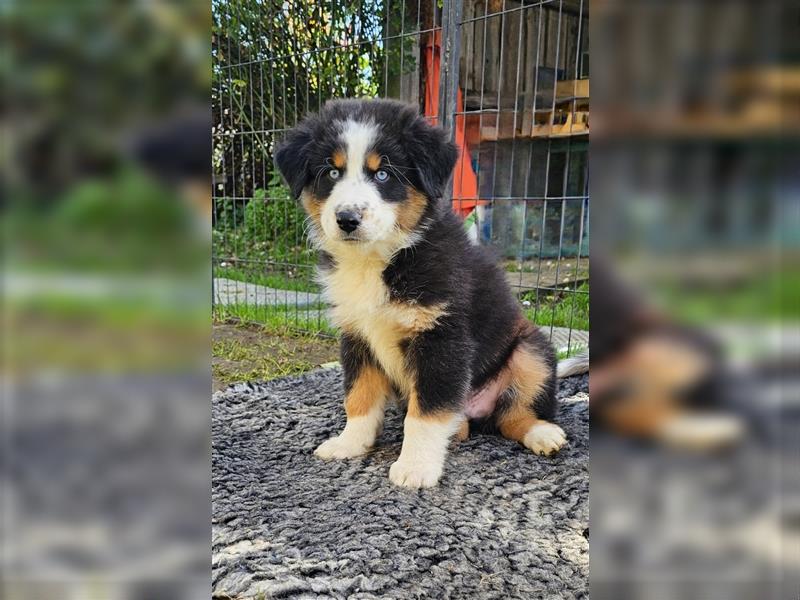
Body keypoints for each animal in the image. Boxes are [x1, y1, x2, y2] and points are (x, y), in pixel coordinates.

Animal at [278, 96, 564, 486]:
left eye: (383, 174)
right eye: (331, 173)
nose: (347, 219)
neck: (378, 260)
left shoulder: (441, 337)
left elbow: (426, 412)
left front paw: (415, 467)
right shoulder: (357, 335)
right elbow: (359, 397)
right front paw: (349, 444)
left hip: (529, 352)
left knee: (512, 415)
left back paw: (543, 434)